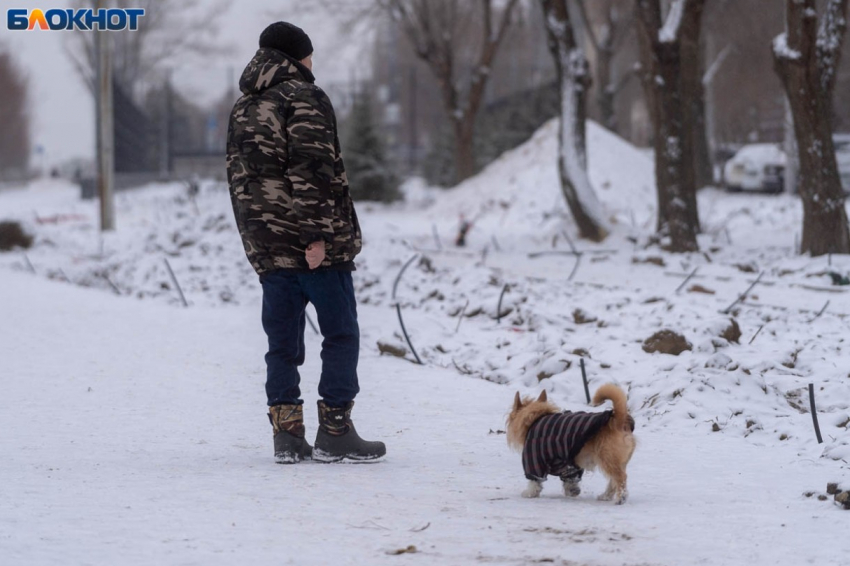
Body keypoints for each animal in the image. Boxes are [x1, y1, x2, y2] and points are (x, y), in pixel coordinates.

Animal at [504, 386, 636, 506]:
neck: (536, 419)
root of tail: (619, 419)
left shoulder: (534, 459)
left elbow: (535, 481)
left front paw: (530, 493)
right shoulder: (569, 463)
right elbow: (571, 479)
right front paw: (572, 490)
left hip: (608, 459)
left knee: (620, 478)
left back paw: (621, 498)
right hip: (617, 461)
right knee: (613, 481)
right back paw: (606, 496)